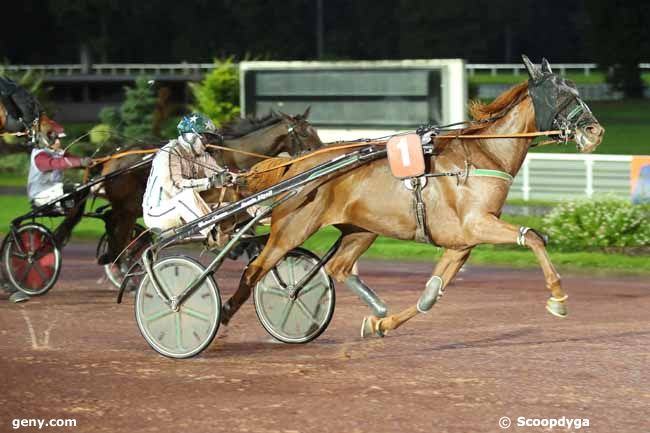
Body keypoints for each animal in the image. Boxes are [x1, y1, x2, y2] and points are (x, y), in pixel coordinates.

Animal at [220, 55, 604, 336]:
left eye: (576, 90)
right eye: (560, 94)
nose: (595, 131)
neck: (483, 155)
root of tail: (298, 164)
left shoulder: (461, 243)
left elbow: (430, 296)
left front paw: (382, 324)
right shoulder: (477, 224)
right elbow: (534, 237)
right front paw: (558, 298)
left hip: (361, 229)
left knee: (337, 268)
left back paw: (368, 307)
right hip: (294, 227)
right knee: (256, 269)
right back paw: (222, 312)